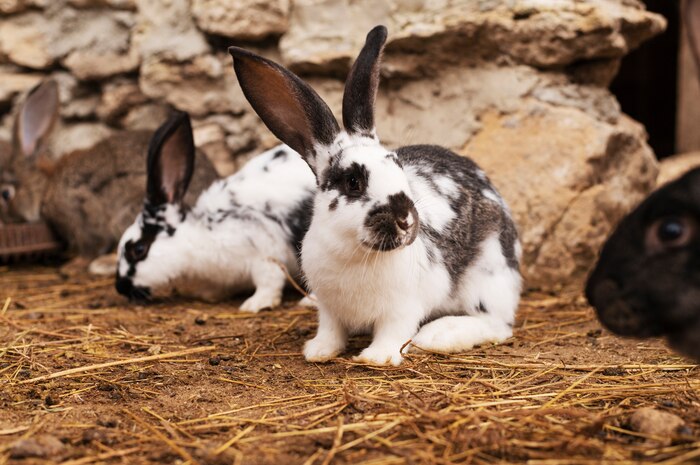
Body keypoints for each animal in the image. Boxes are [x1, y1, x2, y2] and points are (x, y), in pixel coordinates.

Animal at [114, 112, 316, 312]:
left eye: (139, 249)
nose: (120, 287)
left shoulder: (265, 252)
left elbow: (269, 281)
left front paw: (255, 304)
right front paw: (207, 294)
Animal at [228, 25, 522, 365]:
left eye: (398, 166)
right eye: (353, 181)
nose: (406, 220)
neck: (354, 252)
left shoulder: (403, 307)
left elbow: (394, 332)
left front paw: (376, 357)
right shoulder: (329, 309)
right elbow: (330, 330)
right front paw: (318, 352)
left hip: (488, 276)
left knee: (497, 324)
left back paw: (437, 336)